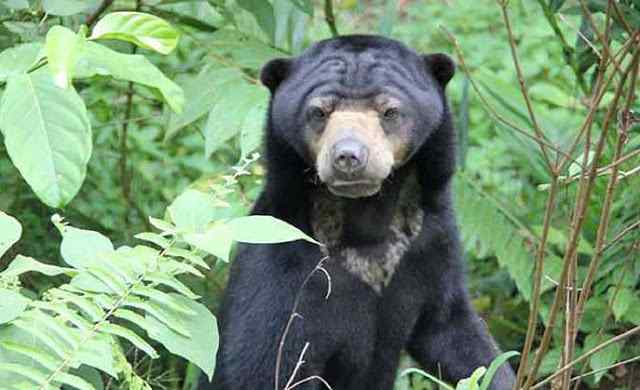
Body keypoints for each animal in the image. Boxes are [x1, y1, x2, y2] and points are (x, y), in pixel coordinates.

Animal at [204, 34, 516, 390]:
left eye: (390, 111)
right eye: (319, 112)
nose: (349, 156)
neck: (366, 212)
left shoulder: (431, 244)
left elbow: (454, 332)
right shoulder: (280, 267)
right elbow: (260, 364)